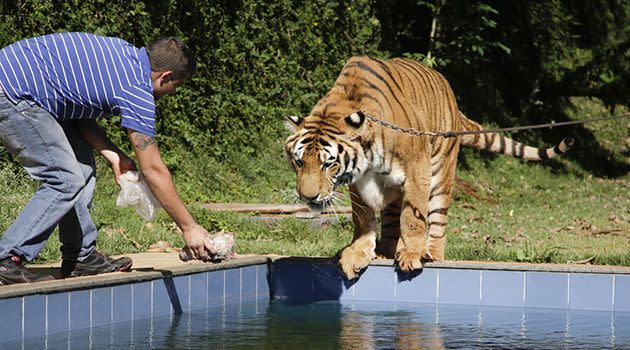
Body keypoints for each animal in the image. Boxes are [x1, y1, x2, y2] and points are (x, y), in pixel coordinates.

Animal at [284, 56, 576, 280]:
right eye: (299, 161)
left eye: (328, 163)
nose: (308, 197)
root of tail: (453, 102)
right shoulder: (357, 181)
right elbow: (363, 218)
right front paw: (358, 254)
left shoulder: (417, 171)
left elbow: (413, 219)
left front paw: (411, 254)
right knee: (391, 217)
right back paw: (386, 250)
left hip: (440, 175)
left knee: (435, 218)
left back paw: (429, 252)